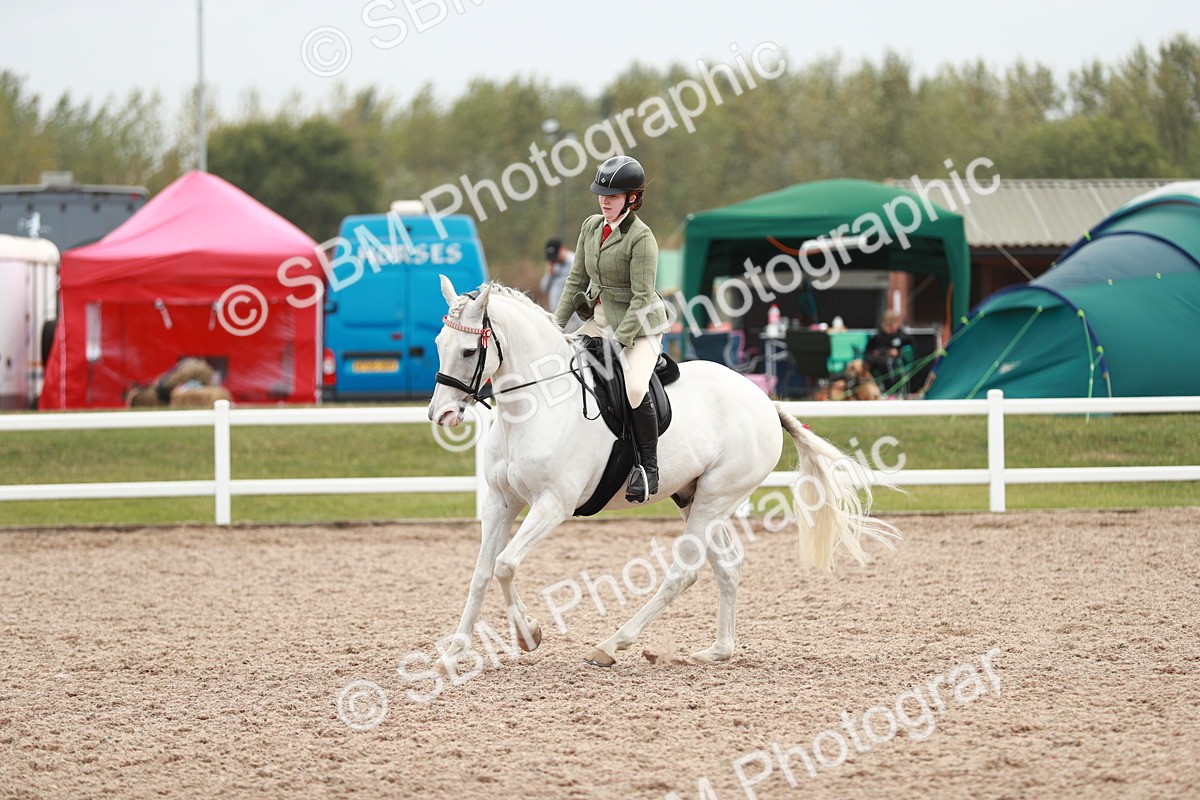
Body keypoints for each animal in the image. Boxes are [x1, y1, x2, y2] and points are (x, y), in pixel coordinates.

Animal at [427, 276, 898, 668]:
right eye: (438, 343)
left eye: (468, 351)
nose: (441, 414)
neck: (536, 404)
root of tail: (764, 401)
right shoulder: (499, 502)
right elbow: (482, 573)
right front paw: (454, 652)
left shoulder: (552, 505)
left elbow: (505, 565)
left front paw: (529, 635)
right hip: (694, 498)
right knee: (727, 567)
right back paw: (717, 651)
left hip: (715, 497)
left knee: (683, 572)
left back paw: (612, 645)